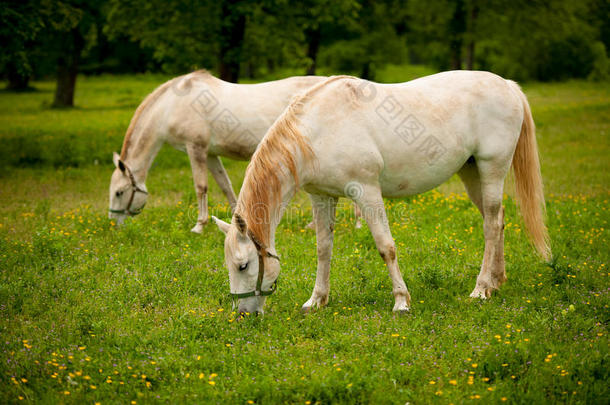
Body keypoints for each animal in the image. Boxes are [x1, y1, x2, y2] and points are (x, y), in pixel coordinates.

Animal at [107, 71, 332, 232]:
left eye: (119, 192)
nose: (113, 224)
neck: (172, 106)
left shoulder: (195, 149)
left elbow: (201, 186)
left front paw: (199, 226)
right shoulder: (210, 155)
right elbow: (225, 185)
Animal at [214, 71, 552, 314]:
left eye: (243, 265)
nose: (242, 313)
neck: (317, 130)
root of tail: (507, 85)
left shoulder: (366, 191)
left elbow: (385, 246)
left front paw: (401, 301)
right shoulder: (321, 197)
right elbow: (324, 249)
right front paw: (317, 300)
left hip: (492, 168)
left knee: (491, 223)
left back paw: (480, 289)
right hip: (471, 173)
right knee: (497, 221)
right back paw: (496, 282)